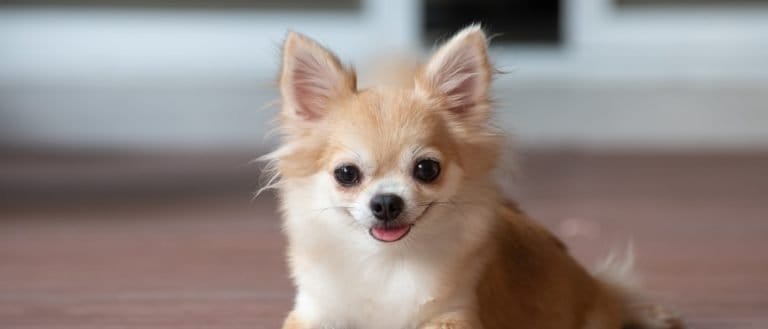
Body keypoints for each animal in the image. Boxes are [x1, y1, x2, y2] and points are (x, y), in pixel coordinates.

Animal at [262, 25, 680, 328]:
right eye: (346, 174)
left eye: (426, 169)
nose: (386, 203)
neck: (387, 261)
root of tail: (603, 290)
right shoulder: (314, 310)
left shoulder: (454, 312)